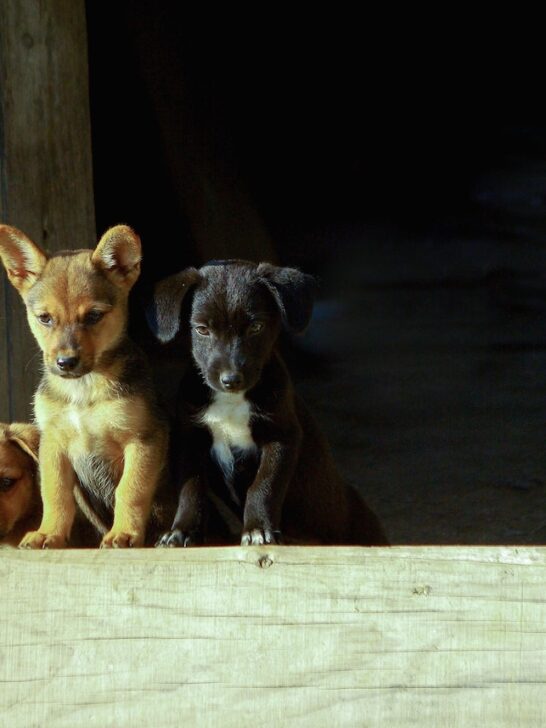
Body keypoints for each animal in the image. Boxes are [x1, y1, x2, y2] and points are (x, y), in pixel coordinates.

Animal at [0, 225, 170, 548]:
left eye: (93, 316)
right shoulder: (53, 443)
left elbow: (131, 490)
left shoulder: (142, 440)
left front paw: (125, 533)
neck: (84, 389)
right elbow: (55, 494)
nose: (66, 362)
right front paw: (49, 533)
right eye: (45, 318)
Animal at [149, 262, 386, 544]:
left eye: (256, 327)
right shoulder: (189, 438)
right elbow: (191, 488)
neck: (232, 401)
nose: (231, 379)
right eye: (202, 330)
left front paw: (257, 529)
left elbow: (263, 486)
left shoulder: (281, 437)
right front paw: (182, 530)